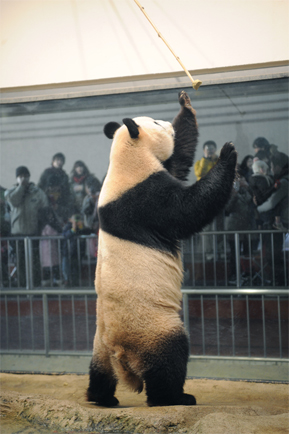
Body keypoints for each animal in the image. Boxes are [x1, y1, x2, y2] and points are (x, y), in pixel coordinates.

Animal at [87, 90, 236, 406]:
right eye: (155, 122)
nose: (167, 124)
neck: (125, 159)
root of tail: (120, 351)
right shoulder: (144, 199)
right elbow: (187, 209)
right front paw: (228, 155)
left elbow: (179, 157)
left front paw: (185, 105)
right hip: (152, 326)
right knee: (170, 357)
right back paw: (174, 397)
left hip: (99, 341)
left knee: (99, 370)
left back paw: (101, 397)